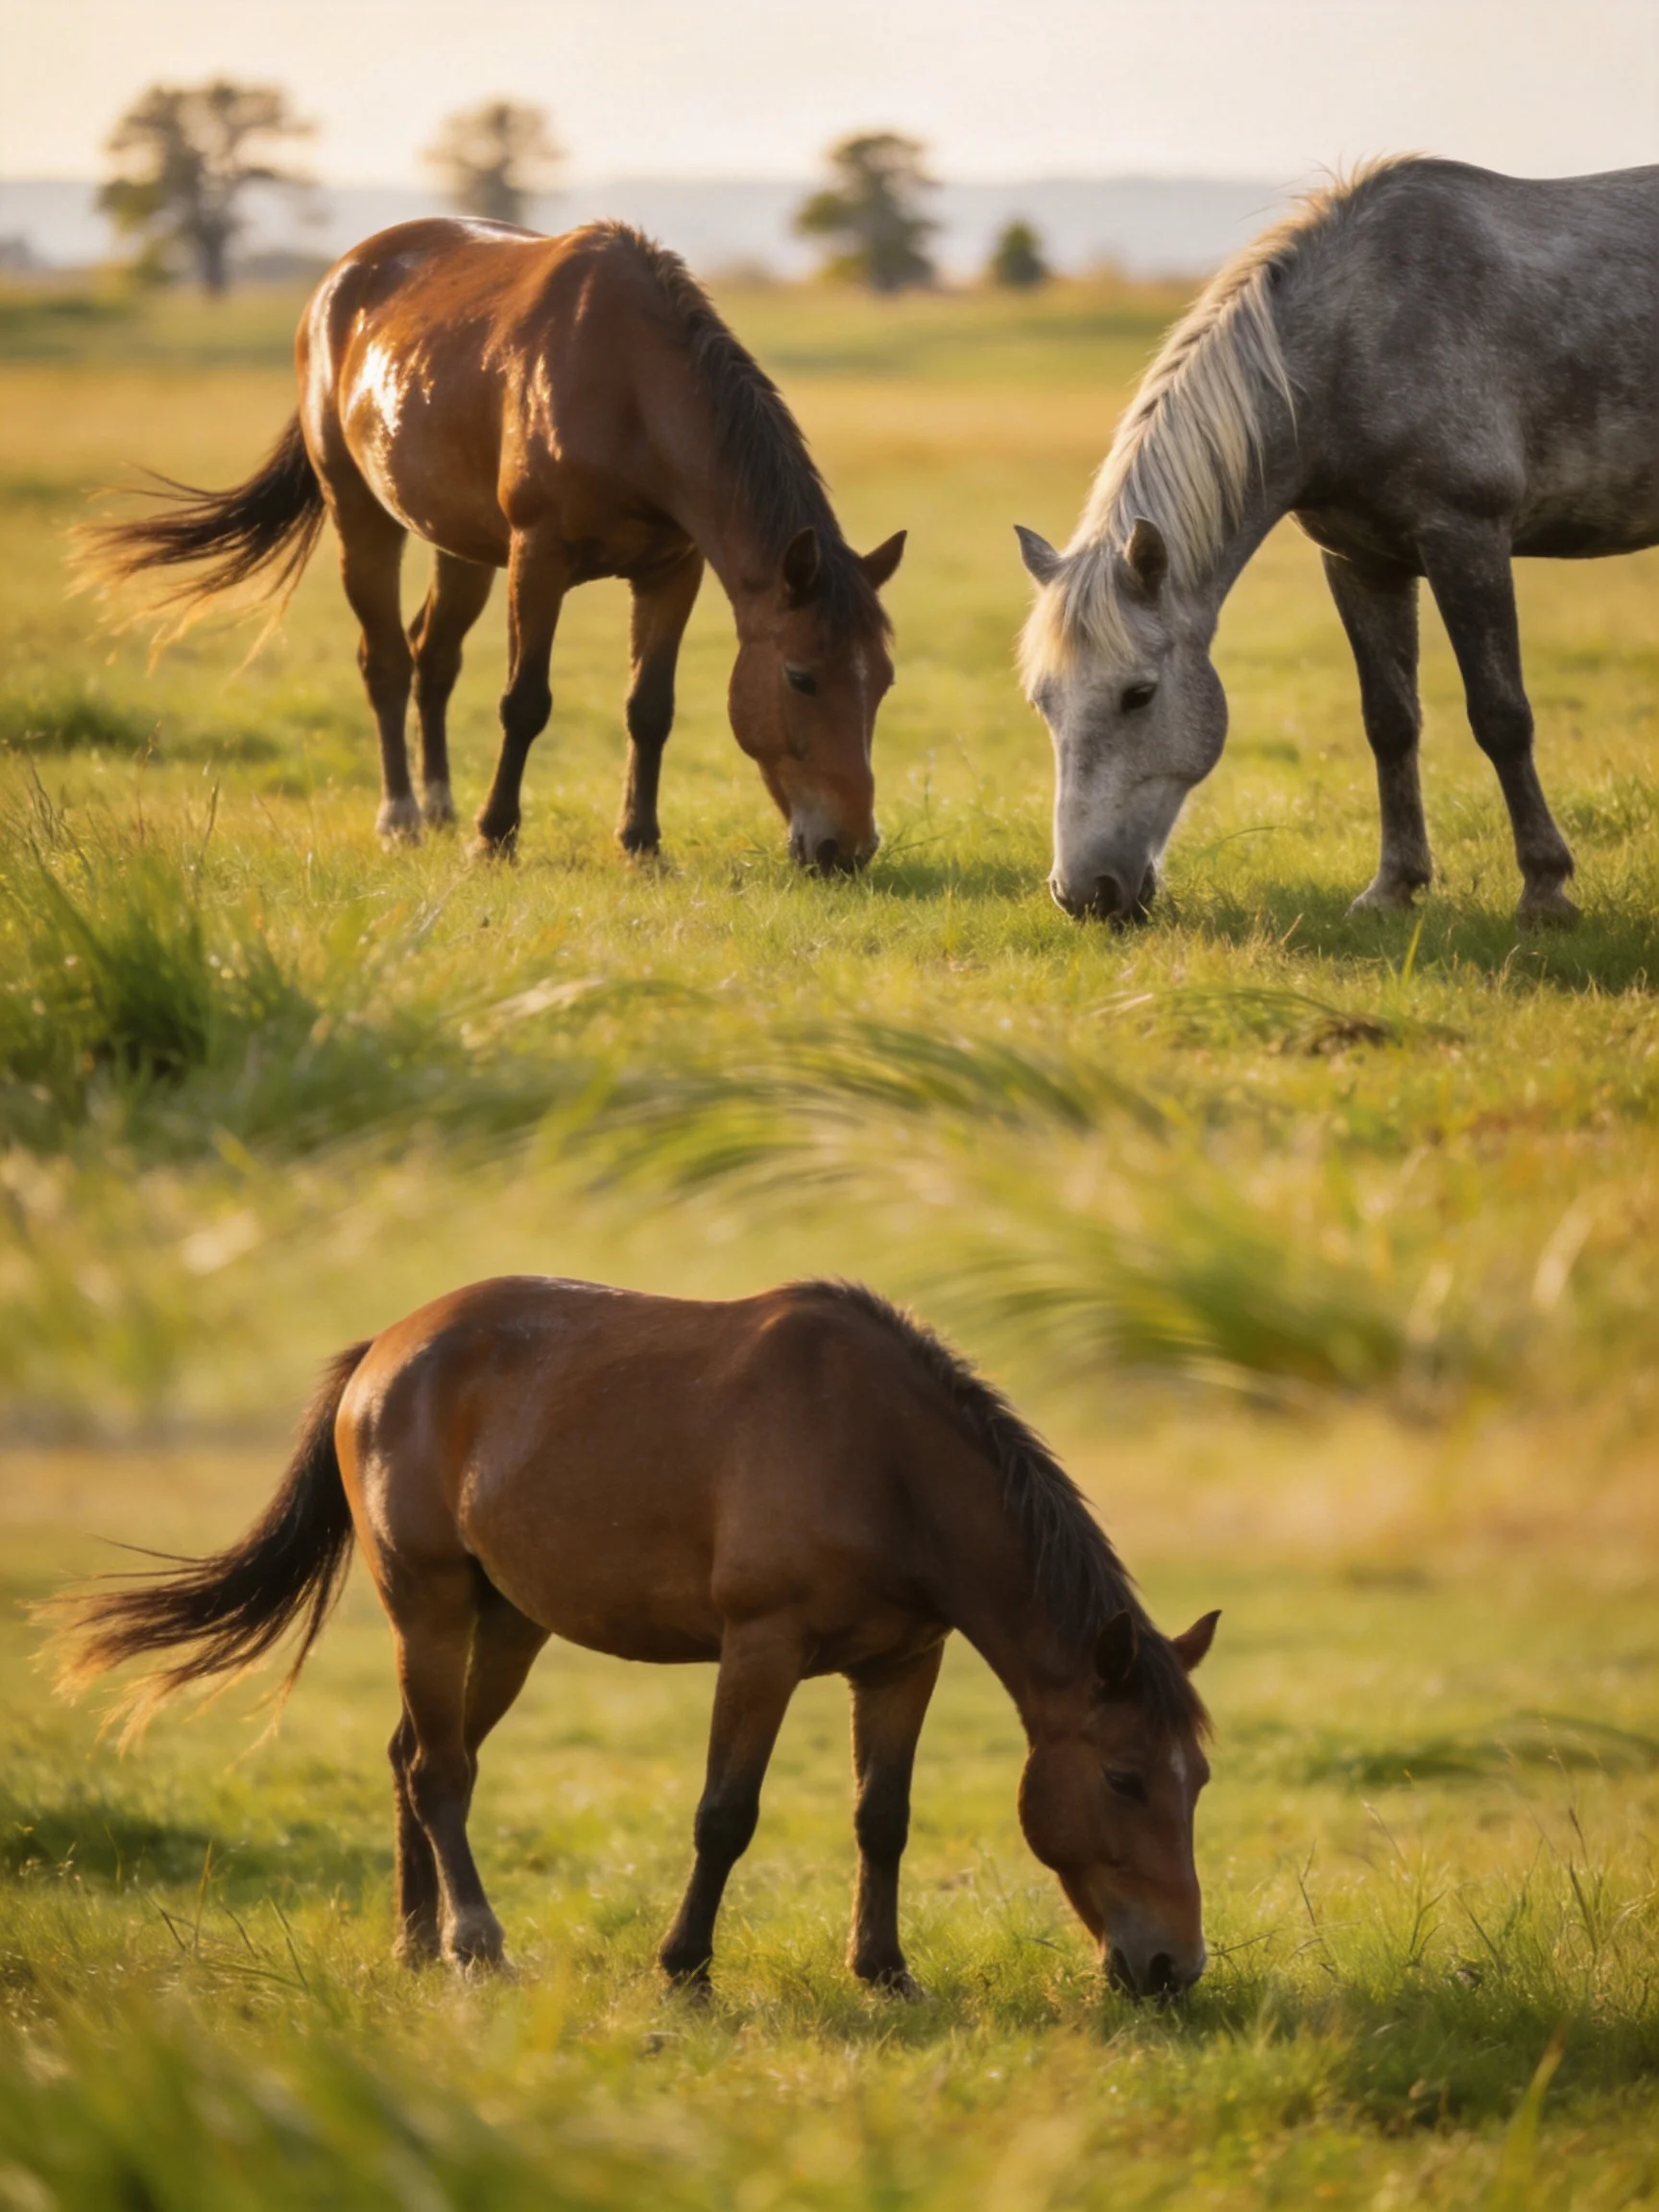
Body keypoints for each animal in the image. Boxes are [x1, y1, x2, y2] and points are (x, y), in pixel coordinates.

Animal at [55, 1275, 1219, 2001]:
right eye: (1123, 1778)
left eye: (1196, 1780)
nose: (1176, 1969)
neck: (883, 1458)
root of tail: (385, 1351)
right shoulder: (762, 1648)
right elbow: (725, 1816)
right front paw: (686, 1966)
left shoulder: (904, 1662)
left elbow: (881, 1819)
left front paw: (885, 1971)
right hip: (426, 1605)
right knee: (437, 1770)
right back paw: (476, 1945)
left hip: (509, 1624)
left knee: (417, 1757)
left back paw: (417, 1947)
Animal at [79, 220, 906, 871]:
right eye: (801, 677)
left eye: (883, 684)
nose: (849, 849)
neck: (631, 392)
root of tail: (335, 284)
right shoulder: (539, 558)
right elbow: (525, 702)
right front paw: (494, 836)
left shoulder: (674, 569)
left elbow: (650, 708)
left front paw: (640, 842)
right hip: (363, 518)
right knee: (385, 661)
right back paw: (403, 818)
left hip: (463, 547)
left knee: (432, 658)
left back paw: (439, 803)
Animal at [1015, 158, 1659, 925]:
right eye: (1042, 702)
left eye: (1137, 695)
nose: (1083, 895)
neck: (1354, 345)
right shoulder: (1360, 562)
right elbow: (1390, 721)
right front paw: (1393, 886)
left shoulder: (1466, 540)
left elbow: (1501, 716)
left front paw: (1544, 888)